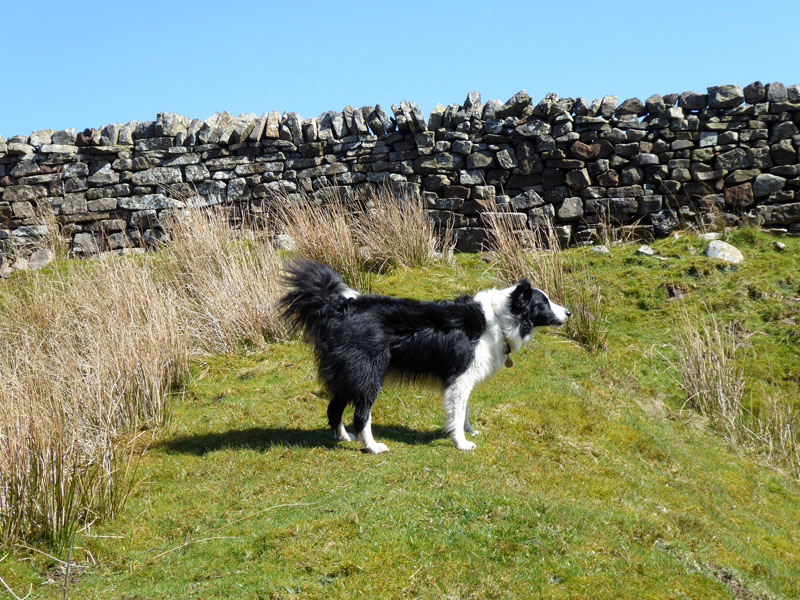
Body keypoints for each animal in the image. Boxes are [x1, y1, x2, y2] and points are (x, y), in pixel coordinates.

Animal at [282, 260, 568, 452]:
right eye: (543, 303)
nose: (569, 313)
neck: (499, 319)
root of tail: (339, 307)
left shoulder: (463, 378)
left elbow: (464, 410)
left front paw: (469, 431)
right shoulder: (460, 376)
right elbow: (458, 411)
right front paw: (461, 442)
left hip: (349, 374)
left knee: (334, 407)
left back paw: (344, 438)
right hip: (369, 373)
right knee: (361, 414)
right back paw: (372, 446)